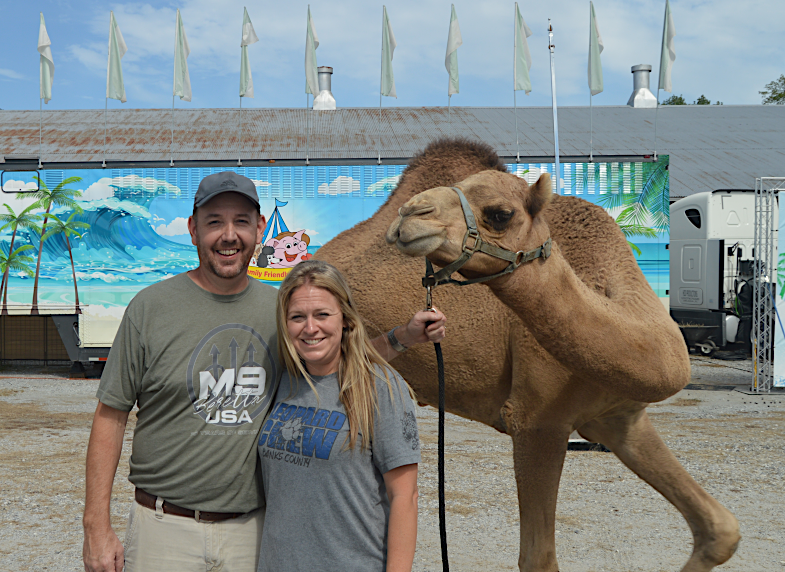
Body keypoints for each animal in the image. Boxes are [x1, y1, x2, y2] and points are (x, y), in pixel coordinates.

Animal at [315, 139, 740, 572]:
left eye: (500, 214)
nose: (410, 213)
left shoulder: (620, 417)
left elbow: (721, 530)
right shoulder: (537, 421)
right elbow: (538, 558)